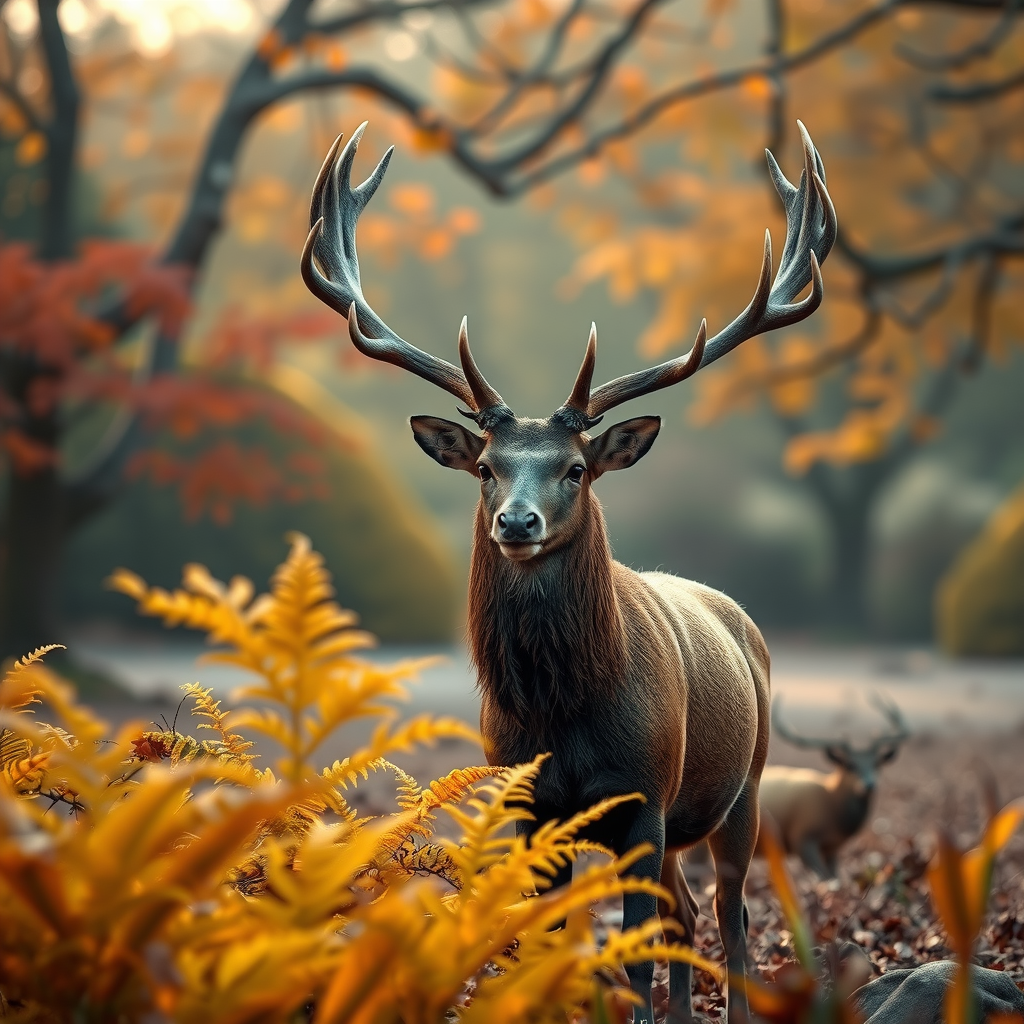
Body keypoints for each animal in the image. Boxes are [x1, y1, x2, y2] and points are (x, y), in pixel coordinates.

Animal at [300, 121, 836, 1024]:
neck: (567, 718)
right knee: (684, 915)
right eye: (486, 468)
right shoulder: (528, 806)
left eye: (576, 469)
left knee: (727, 913)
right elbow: (553, 948)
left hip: (745, 788)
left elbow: (630, 957)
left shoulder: (644, 797)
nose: (517, 522)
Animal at [762, 695, 909, 878]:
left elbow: (835, 876)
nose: (869, 784)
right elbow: (825, 877)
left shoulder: (833, 848)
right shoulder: (802, 838)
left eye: (877, 763)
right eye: (850, 765)